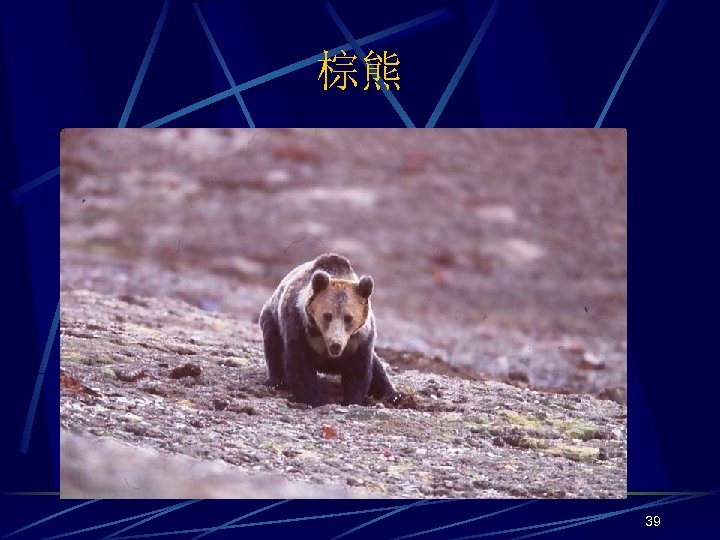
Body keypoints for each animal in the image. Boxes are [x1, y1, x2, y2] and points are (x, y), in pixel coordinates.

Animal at [259, 253, 400, 406]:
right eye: (327, 315)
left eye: (348, 317)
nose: (335, 344)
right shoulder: (298, 328)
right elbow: (300, 367)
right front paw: (312, 399)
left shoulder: (360, 340)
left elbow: (359, 372)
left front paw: (352, 400)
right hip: (271, 319)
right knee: (273, 346)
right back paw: (276, 381)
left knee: (377, 367)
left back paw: (393, 395)